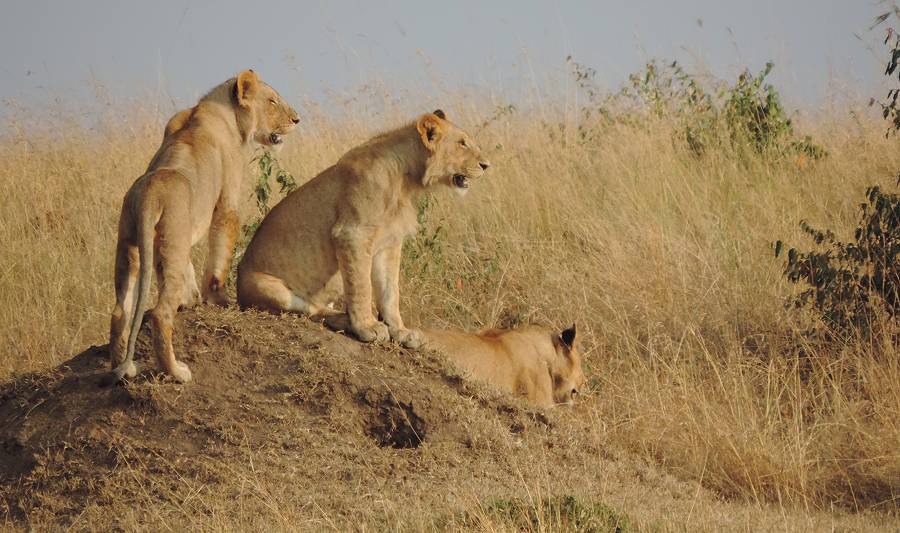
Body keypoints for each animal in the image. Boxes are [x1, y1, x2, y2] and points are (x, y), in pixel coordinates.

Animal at [108, 69, 298, 382]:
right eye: (272, 101)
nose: (297, 119)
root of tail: (149, 195)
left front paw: (193, 300)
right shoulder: (227, 201)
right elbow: (221, 249)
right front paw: (217, 298)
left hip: (130, 244)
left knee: (119, 311)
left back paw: (116, 368)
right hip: (173, 241)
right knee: (160, 312)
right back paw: (177, 372)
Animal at [237, 110, 492, 348]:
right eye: (462, 143)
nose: (486, 165)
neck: (405, 180)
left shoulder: (390, 242)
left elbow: (390, 292)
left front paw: (401, 331)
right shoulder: (352, 233)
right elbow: (361, 286)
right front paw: (368, 327)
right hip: (266, 286)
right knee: (312, 309)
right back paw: (346, 321)